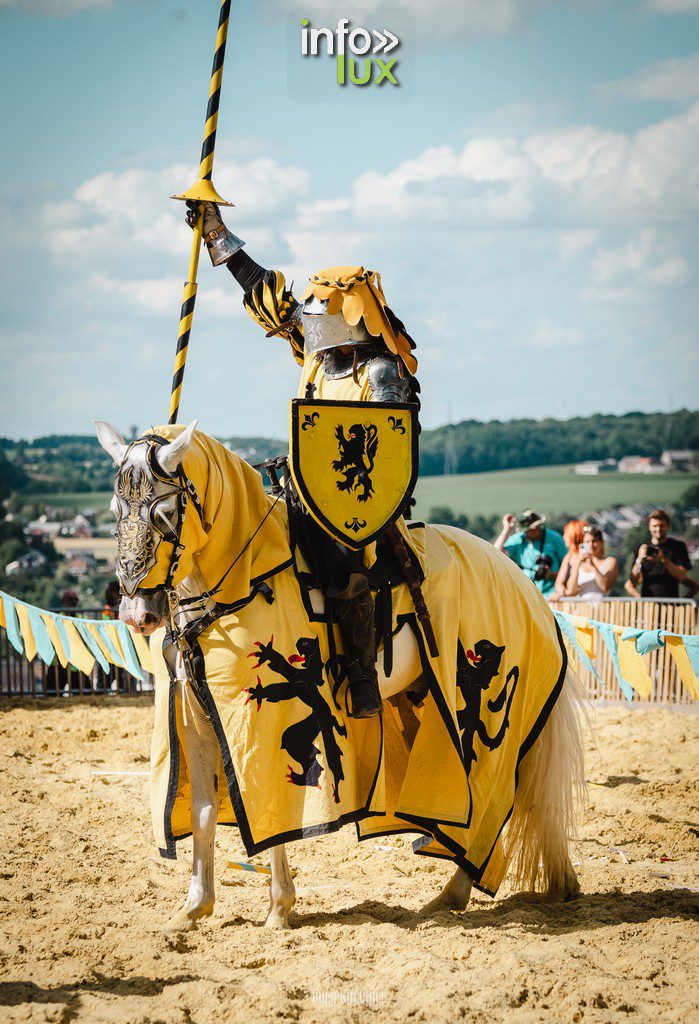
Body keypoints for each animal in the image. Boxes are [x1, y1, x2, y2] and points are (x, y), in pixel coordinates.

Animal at [93, 419, 585, 933]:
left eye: (166, 514)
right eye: (115, 510)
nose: (136, 614)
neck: (246, 579)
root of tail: (524, 583)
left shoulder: (256, 730)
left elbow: (273, 816)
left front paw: (279, 908)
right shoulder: (198, 721)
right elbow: (206, 813)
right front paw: (194, 908)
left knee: (502, 800)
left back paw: (460, 890)